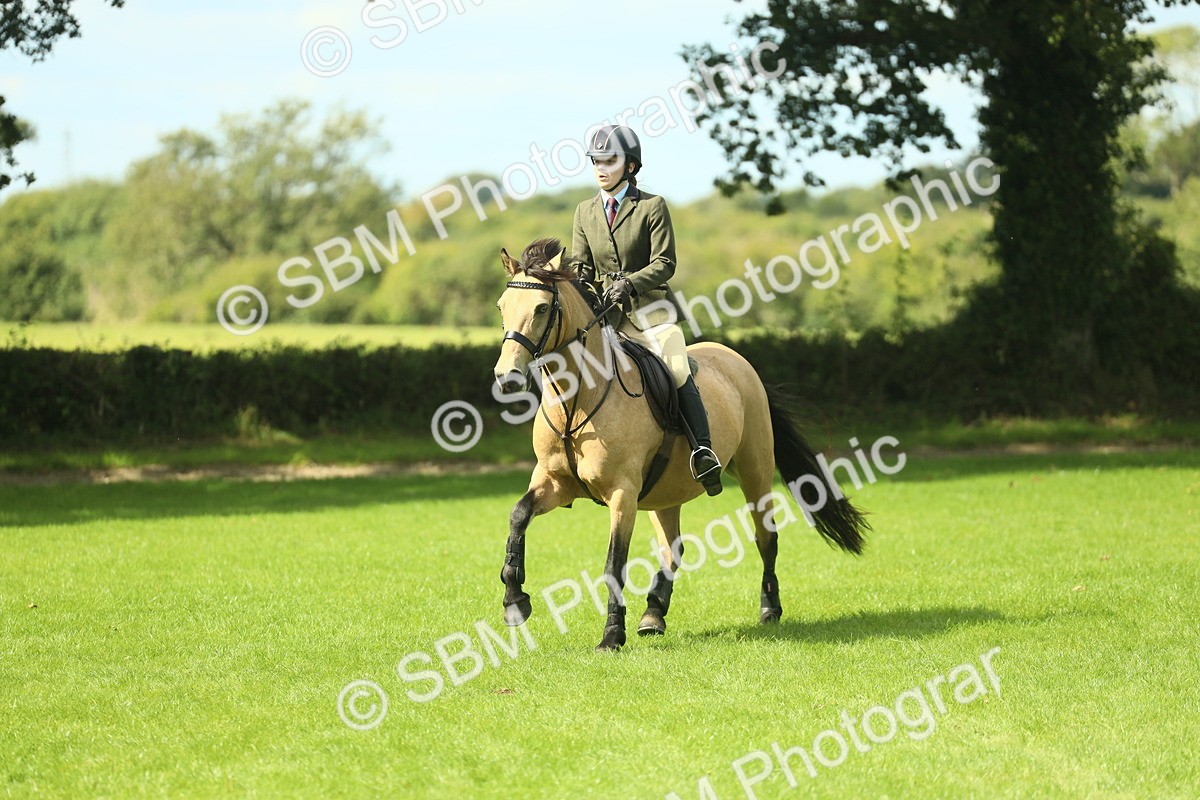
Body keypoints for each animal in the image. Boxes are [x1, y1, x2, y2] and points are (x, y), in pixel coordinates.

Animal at [492, 238, 869, 652]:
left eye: (542, 308)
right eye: (502, 307)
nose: (507, 378)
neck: (578, 399)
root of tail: (739, 362)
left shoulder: (622, 493)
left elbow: (614, 564)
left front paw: (611, 636)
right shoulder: (555, 483)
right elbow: (517, 516)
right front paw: (514, 602)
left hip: (755, 471)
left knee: (764, 536)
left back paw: (769, 608)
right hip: (664, 492)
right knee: (672, 549)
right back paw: (653, 615)